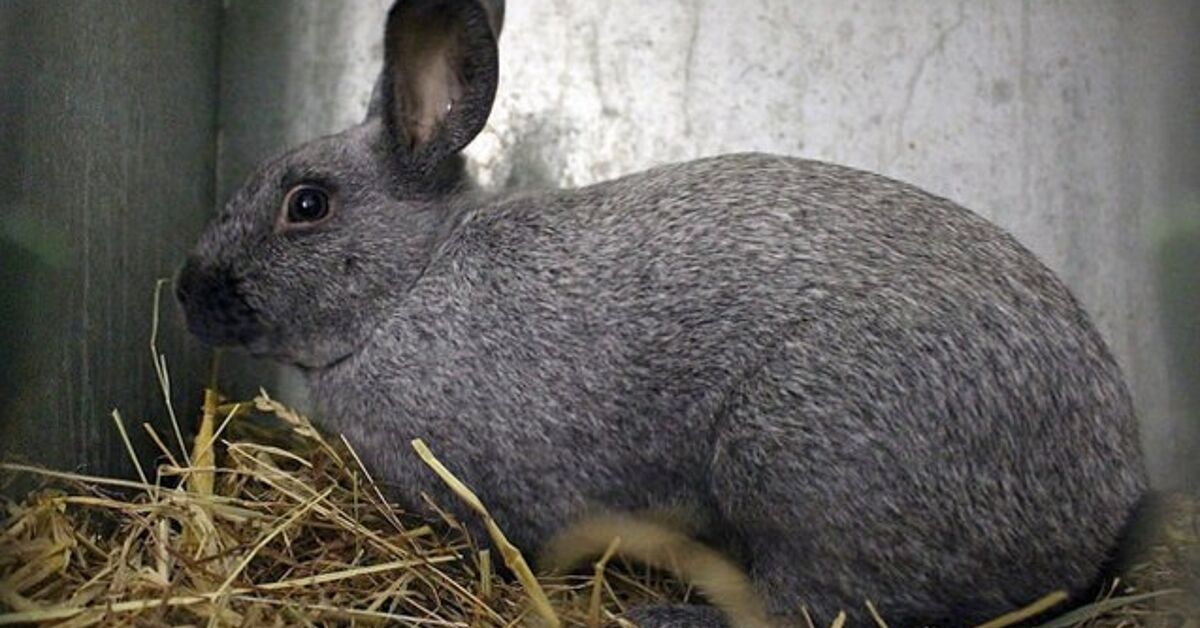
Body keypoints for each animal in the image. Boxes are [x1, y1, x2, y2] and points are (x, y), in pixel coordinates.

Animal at [176, 0, 1147, 625]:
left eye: (307, 205)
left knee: (820, 603)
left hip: (798, 470)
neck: (411, 285)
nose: (187, 293)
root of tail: (1094, 516)